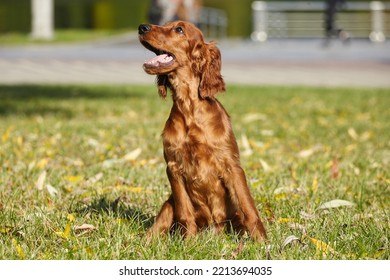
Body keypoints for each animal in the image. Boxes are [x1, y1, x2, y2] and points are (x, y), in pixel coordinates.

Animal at [139, 21, 266, 241]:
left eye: (179, 29)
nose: (142, 27)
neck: (189, 108)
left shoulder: (232, 166)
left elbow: (249, 208)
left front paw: (262, 241)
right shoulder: (173, 167)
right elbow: (185, 212)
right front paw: (188, 242)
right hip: (168, 204)